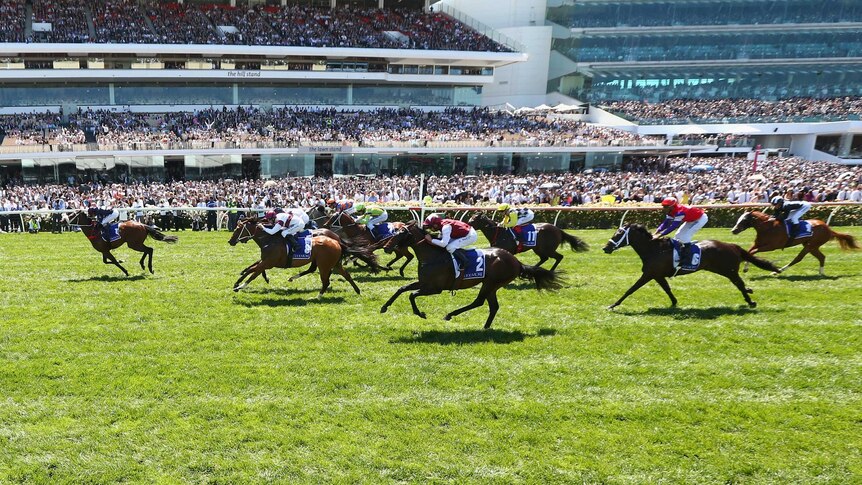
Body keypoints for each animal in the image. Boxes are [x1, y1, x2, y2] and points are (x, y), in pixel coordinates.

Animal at [228, 216, 380, 294]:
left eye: (238, 229)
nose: (230, 241)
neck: (270, 239)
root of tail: (336, 238)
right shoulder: (265, 261)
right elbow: (252, 268)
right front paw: (238, 282)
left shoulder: (269, 262)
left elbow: (253, 271)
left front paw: (239, 285)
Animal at [382, 221, 564, 328]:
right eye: (394, 231)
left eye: (401, 233)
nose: (386, 247)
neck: (432, 256)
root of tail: (516, 261)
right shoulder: (424, 283)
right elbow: (402, 289)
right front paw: (384, 307)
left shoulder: (434, 288)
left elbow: (412, 294)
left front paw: (420, 313)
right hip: (492, 285)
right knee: (493, 306)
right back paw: (485, 327)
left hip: (491, 283)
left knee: (479, 302)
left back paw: (450, 314)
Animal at [608, 222, 784, 308]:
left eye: (618, 234)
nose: (606, 248)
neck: (654, 249)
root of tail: (732, 245)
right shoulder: (657, 275)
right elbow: (667, 289)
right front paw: (674, 302)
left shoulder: (649, 274)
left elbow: (630, 289)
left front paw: (614, 304)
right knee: (739, 284)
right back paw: (749, 293)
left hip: (729, 270)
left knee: (739, 284)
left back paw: (750, 301)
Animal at [732, 209, 860, 274]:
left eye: (744, 220)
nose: (734, 230)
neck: (768, 227)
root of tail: (828, 228)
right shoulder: (757, 243)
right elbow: (750, 251)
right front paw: (745, 267)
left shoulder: (772, 246)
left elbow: (753, 252)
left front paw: (745, 267)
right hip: (812, 246)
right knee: (822, 257)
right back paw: (821, 273)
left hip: (810, 246)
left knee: (798, 258)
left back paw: (778, 271)